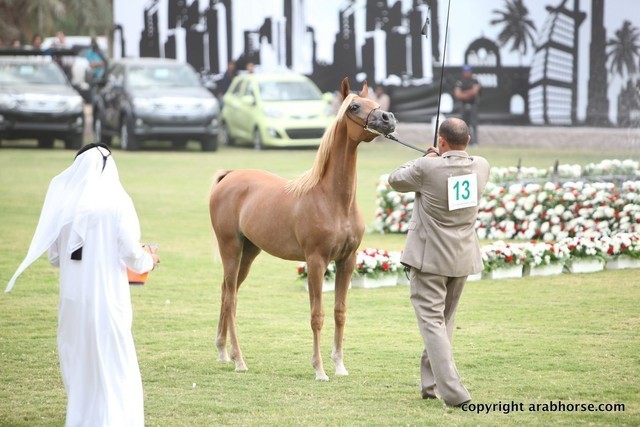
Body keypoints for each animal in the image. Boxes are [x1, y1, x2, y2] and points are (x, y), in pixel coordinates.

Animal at [209, 77, 397, 380]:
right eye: (354, 106)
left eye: (375, 103)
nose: (388, 119)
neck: (332, 199)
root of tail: (229, 176)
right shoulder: (316, 262)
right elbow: (317, 315)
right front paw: (319, 369)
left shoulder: (347, 261)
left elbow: (340, 311)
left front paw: (339, 365)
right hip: (231, 249)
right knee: (231, 300)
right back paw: (239, 360)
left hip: (249, 253)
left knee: (226, 292)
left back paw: (223, 352)